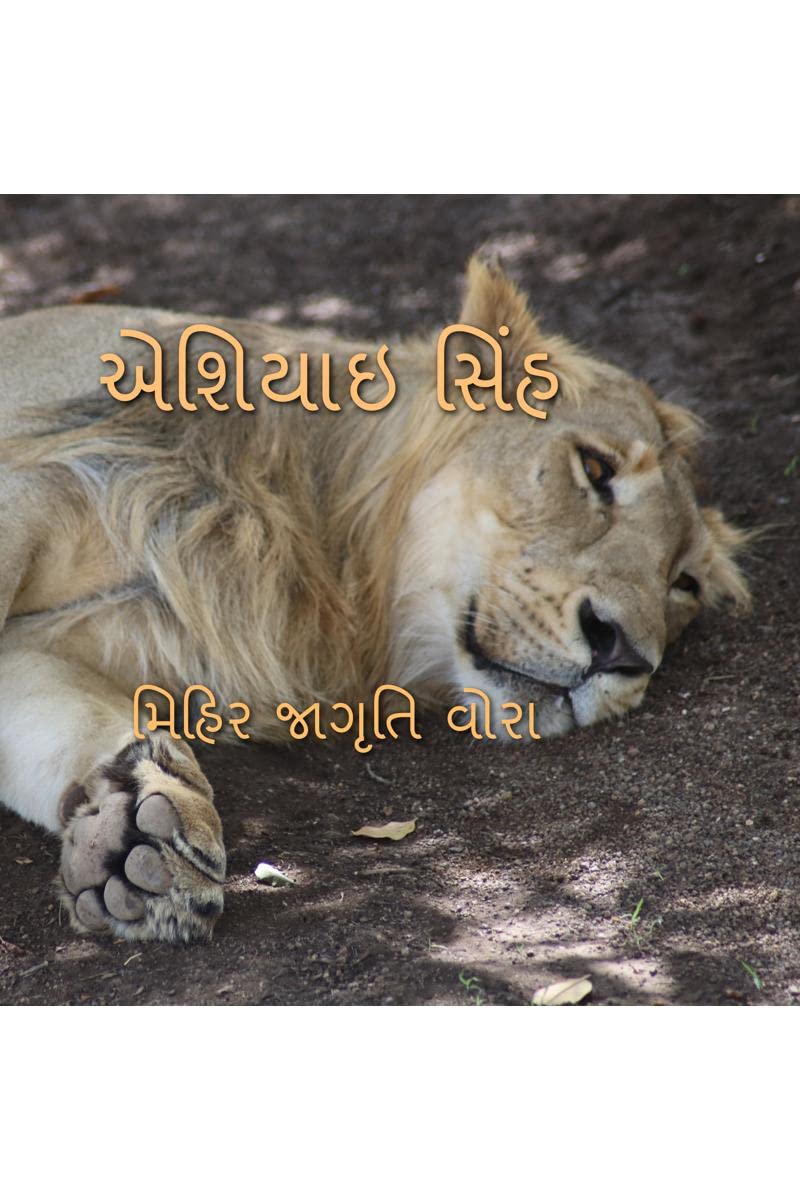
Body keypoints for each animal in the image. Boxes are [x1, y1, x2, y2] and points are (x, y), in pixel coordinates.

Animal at [0, 259, 750, 943]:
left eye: (683, 584)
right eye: (595, 468)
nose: (622, 651)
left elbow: (63, 716)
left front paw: (134, 835)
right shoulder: (32, 488)